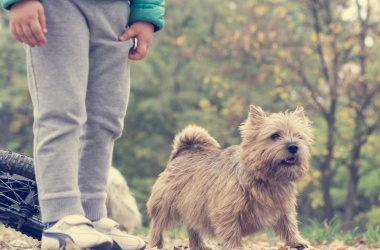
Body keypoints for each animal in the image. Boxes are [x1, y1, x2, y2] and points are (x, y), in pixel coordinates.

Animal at [147, 104, 314, 249]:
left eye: (299, 136)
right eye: (275, 136)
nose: (293, 146)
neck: (267, 178)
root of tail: (184, 151)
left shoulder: (284, 206)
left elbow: (289, 224)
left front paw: (297, 241)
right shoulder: (226, 209)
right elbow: (230, 229)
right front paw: (235, 247)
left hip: (193, 207)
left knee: (193, 228)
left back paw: (199, 245)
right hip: (165, 205)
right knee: (157, 226)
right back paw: (155, 244)